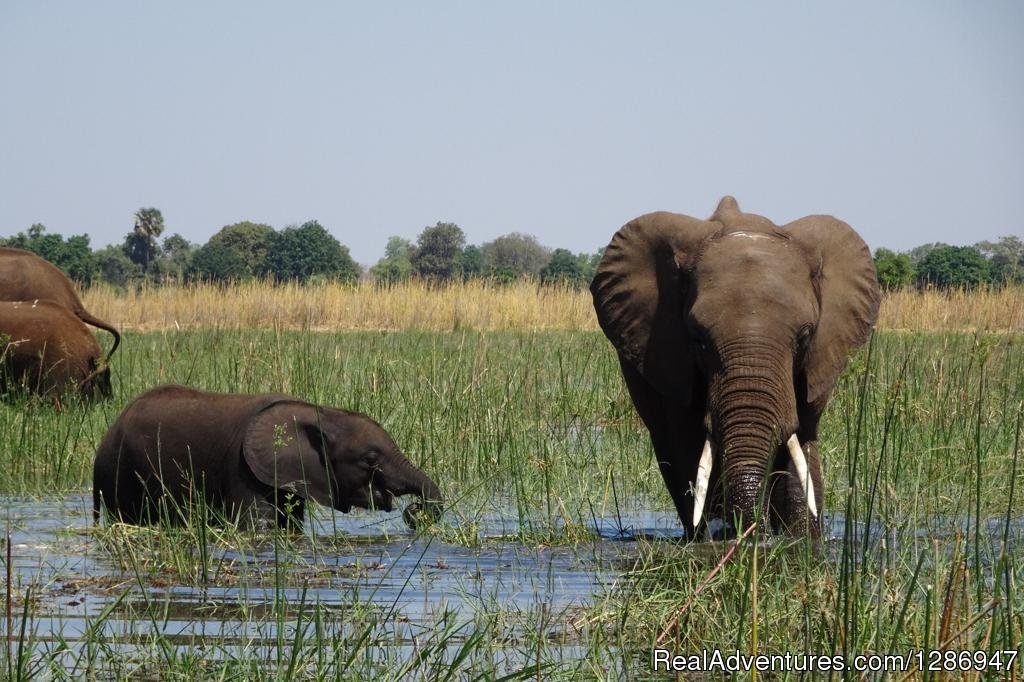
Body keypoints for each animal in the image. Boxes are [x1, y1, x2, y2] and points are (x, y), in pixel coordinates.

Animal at [96, 385, 444, 528]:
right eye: (370, 459)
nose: (415, 511)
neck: (319, 413)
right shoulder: (242, 471)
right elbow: (256, 526)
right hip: (117, 471)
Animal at [593, 195, 880, 536]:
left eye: (806, 336)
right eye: (698, 339)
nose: (754, 529)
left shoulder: (820, 359)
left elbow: (802, 445)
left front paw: (800, 539)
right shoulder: (672, 356)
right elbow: (691, 445)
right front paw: (722, 536)